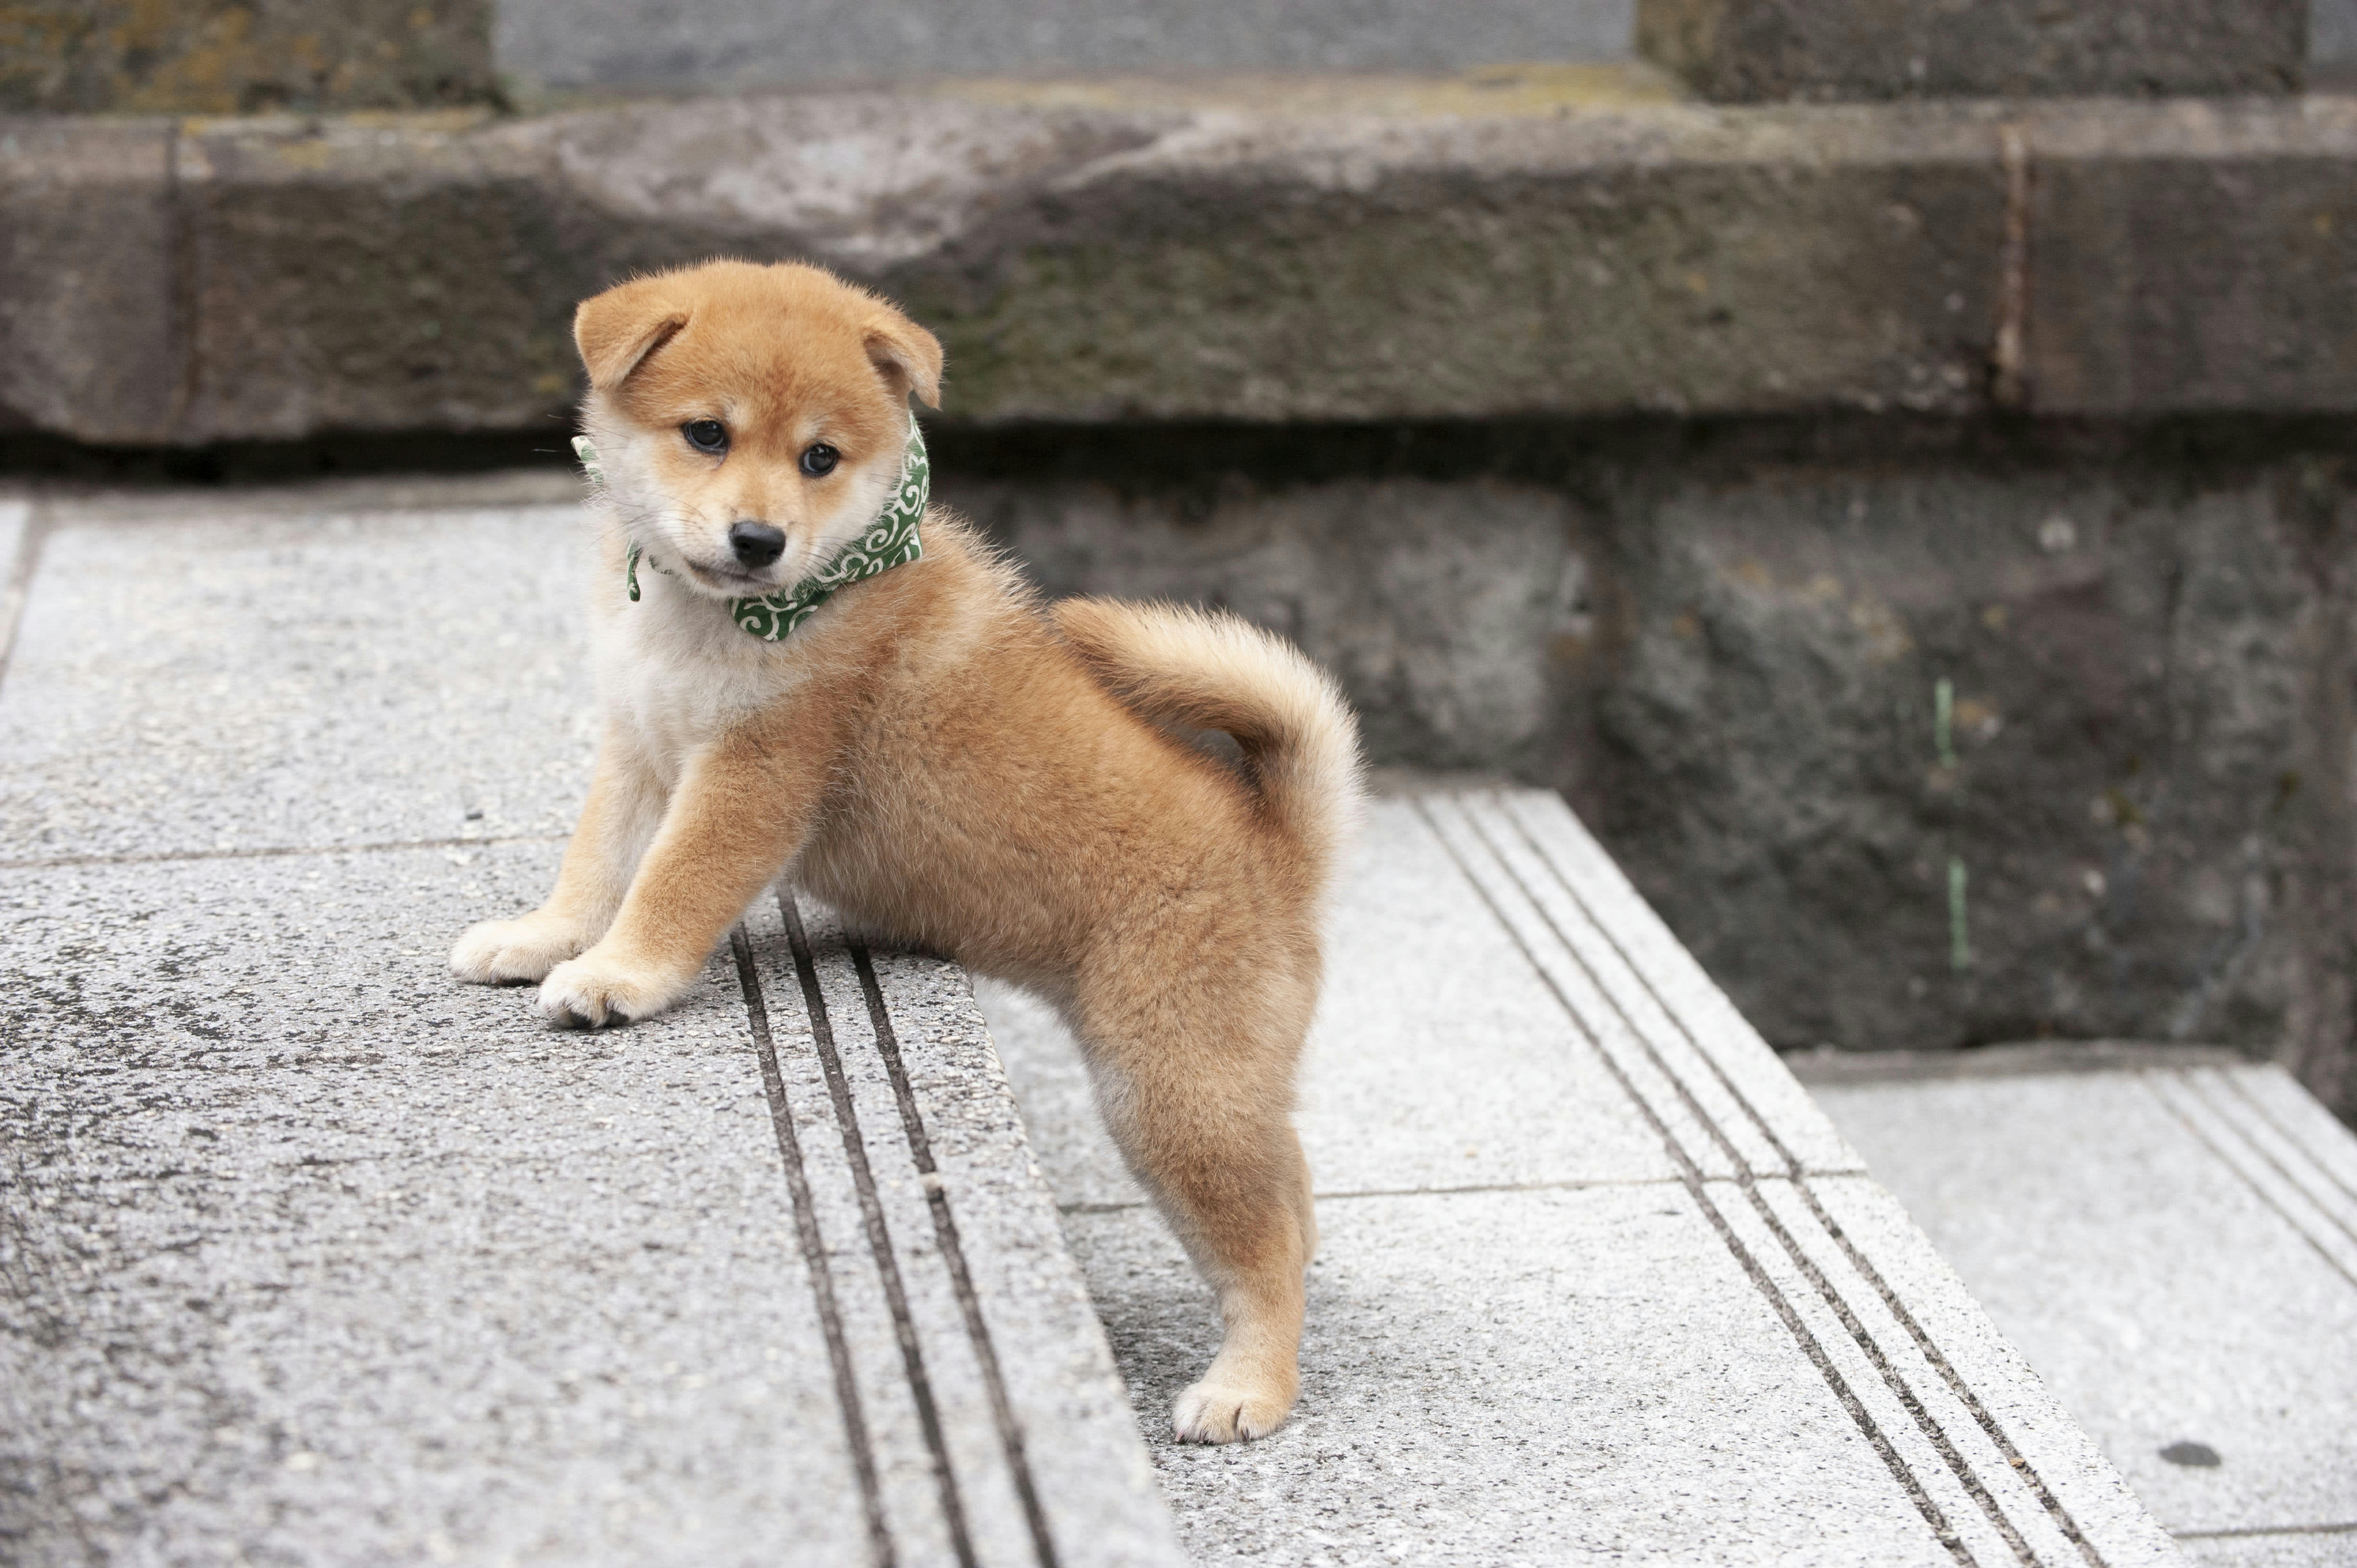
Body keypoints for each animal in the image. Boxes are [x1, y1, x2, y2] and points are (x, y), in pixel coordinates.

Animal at [448, 259, 1367, 1443]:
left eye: (818, 458)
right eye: (707, 434)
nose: (759, 541)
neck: (720, 621)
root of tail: (1276, 844)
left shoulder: (755, 772)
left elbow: (672, 884)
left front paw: (616, 976)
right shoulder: (643, 748)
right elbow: (596, 862)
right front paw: (544, 938)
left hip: (1172, 1089)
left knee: (1263, 1249)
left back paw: (1248, 1385)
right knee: (1291, 1201)